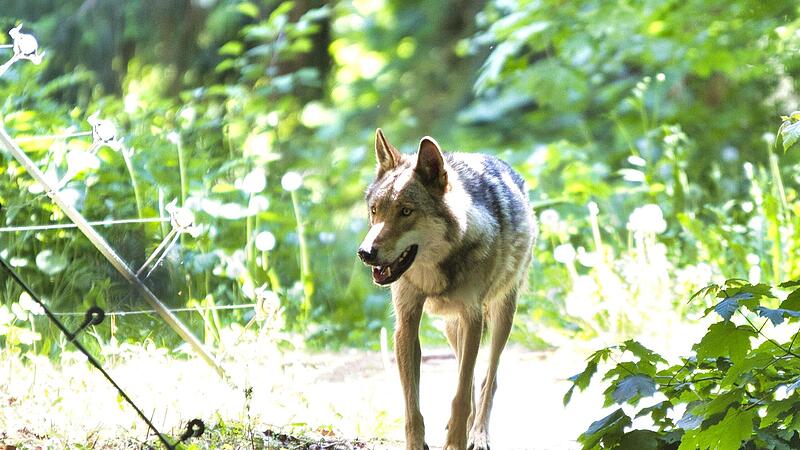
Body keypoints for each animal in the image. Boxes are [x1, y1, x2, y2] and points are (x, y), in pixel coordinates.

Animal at [358, 129, 536, 450]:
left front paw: (456, 441)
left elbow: (462, 394)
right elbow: (412, 403)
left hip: (501, 315)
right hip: (452, 329)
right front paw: (417, 443)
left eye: (406, 212)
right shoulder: (406, 323)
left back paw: (478, 434)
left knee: (488, 379)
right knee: (470, 374)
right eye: (375, 211)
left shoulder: (473, 317)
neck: (434, 273)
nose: (365, 253)